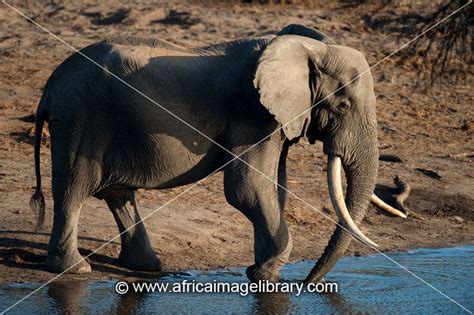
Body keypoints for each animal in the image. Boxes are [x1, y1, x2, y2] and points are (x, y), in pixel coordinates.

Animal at [30, 23, 404, 282]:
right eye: (343, 105)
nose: (308, 283)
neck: (308, 48)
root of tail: (50, 86)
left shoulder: (274, 120)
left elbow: (274, 186)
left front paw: (263, 273)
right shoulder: (252, 112)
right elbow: (247, 188)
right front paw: (266, 274)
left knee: (117, 194)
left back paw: (147, 267)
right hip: (81, 118)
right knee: (74, 188)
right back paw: (75, 270)